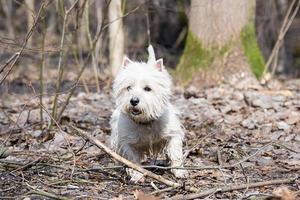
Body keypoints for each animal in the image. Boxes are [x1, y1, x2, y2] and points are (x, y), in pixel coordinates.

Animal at [109, 45, 188, 181]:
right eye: (128, 87)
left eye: (147, 88)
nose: (134, 101)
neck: (145, 122)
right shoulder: (126, 142)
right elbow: (132, 159)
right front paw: (137, 174)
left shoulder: (172, 133)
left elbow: (175, 151)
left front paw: (179, 171)